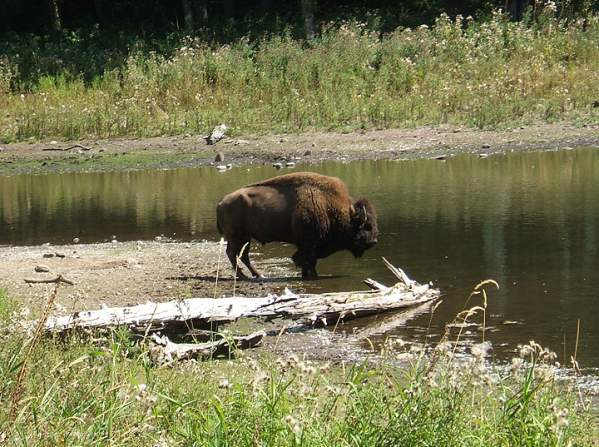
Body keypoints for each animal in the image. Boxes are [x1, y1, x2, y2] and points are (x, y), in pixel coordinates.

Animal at [216, 172, 378, 280]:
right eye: (367, 225)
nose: (374, 241)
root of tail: (222, 202)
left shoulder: (308, 245)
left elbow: (307, 261)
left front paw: (308, 275)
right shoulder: (310, 244)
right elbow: (308, 260)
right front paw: (312, 276)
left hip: (246, 237)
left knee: (243, 255)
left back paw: (258, 275)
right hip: (236, 236)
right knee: (232, 253)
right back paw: (242, 276)